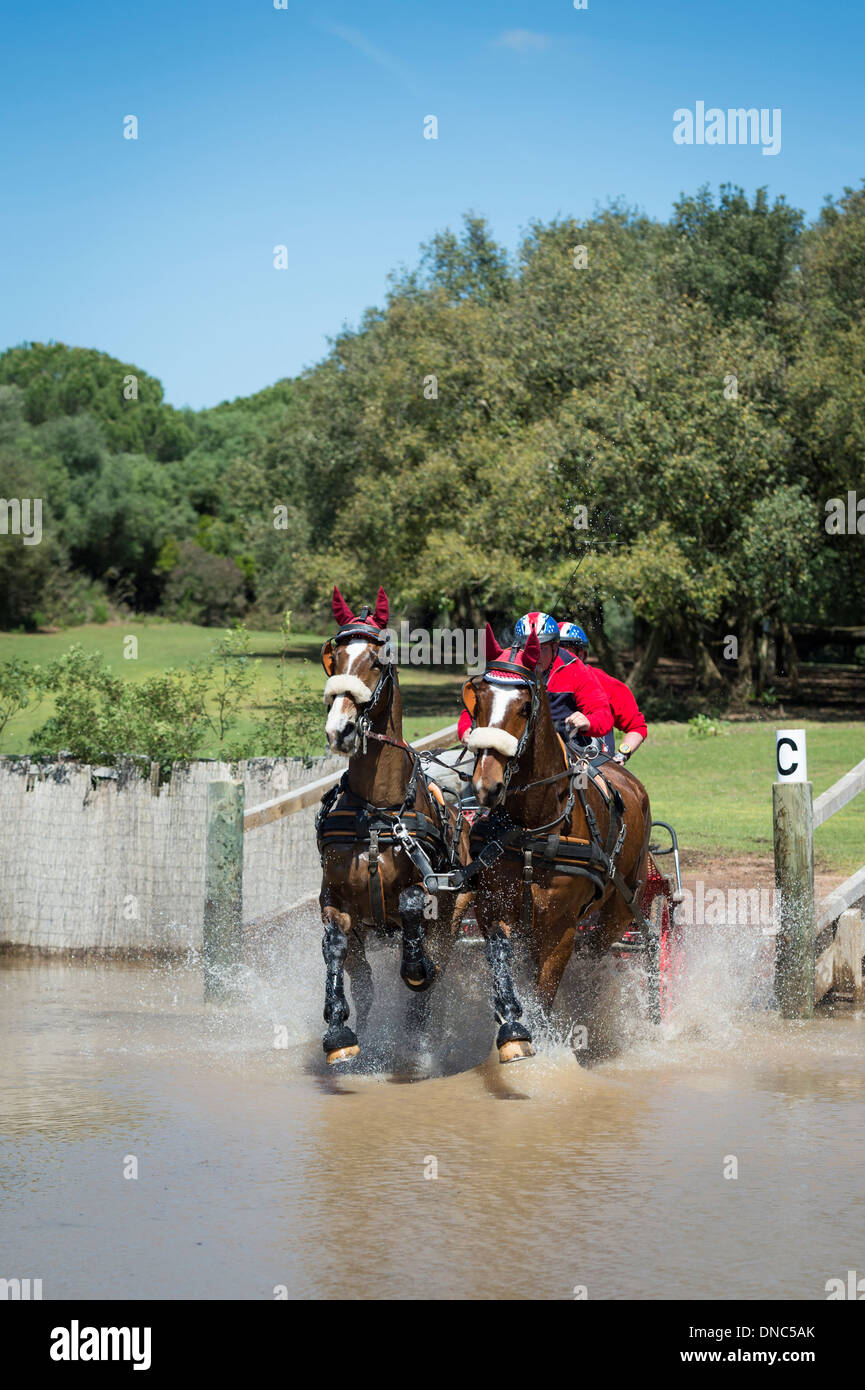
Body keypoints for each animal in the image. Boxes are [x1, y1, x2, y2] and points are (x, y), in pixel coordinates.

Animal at [318, 586, 470, 1061]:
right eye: (333, 657)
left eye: (378, 658)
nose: (341, 730)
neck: (377, 813)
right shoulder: (334, 898)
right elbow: (336, 949)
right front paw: (338, 1032)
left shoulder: (428, 889)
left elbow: (411, 909)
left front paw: (419, 968)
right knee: (367, 982)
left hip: (457, 914)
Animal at [464, 625, 653, 1056]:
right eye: (477, 700)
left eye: (523, 707)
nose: (486, 785)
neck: (533, 831)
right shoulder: (494, 910)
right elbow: (501, 962)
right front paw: (512, 1031)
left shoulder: (559, 929)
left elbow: (546, 991)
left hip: (620, 908)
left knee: (595, 957)